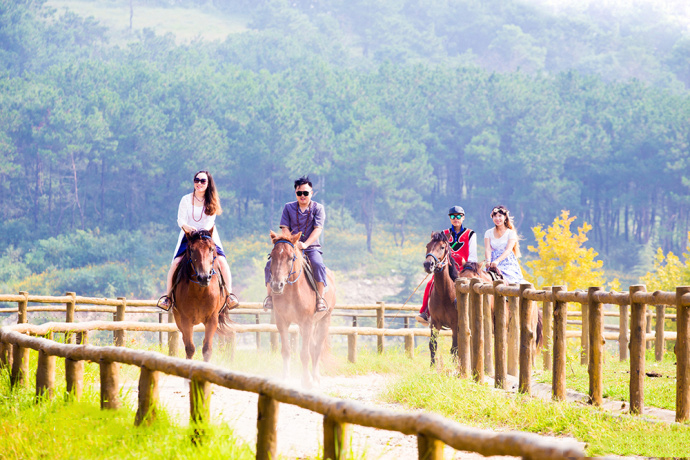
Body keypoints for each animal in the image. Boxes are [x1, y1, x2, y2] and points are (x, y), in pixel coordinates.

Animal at [171, 228, 232, 362]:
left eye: (211, 249)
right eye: (192, 249)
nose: (204, 277)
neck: (200, 291)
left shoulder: (212, 319)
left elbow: (207, 349)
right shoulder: (185, 320)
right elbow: (190, 348)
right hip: (178, 319)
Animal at [266, 230, 336, 388]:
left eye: (291, 257)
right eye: (272, 256)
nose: (276, 285)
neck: (292, 292)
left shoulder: (307, 322)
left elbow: (304, 354)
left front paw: (306, 381)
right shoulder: (282, 322)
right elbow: (286, 351)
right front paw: (286, 379)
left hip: (323, 320)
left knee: (316, 348)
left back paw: (315, 378)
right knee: (313, 347)